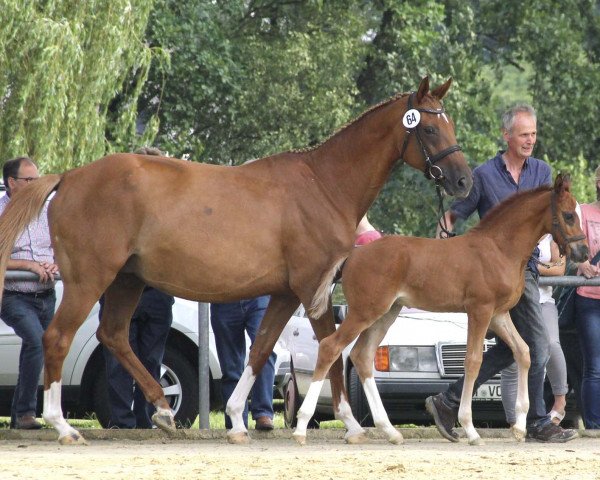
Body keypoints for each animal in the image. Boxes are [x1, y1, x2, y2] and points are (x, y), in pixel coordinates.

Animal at [0, 76, 472, 446]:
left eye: (447, 123)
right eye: (431, 128)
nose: (463, 181)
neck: (323, 184)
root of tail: (69, 177)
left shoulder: (285, 294)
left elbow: (260, 350)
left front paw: (236, 421)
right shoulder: (313, 288)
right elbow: (331, 351)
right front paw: (352, 425)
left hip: (126, 280)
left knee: (114, 335)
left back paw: (162, 410)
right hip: (89, 279)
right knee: (57, 337)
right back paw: (63, 426)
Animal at [292, 173, 588, 446]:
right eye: (568, 215)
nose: (583, 253)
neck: (498, 249)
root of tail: (353, 254)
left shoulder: (498, 314)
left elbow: (523, 352)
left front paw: (518, 427)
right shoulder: (479, 310)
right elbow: (473, 361)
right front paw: (470, 429)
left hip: (386, 313)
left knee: (361, 356)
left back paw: (390, 431)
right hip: (365, 311)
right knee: (330, 347)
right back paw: (302, 428)